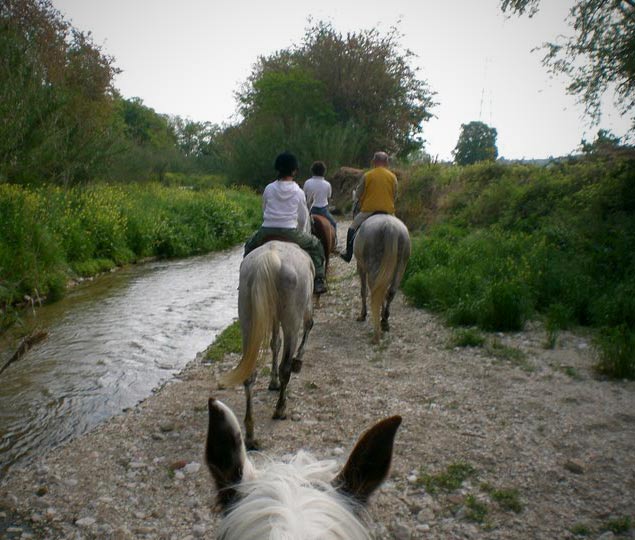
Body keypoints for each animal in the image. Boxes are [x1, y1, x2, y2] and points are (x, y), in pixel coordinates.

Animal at [221, 240, 316, 448]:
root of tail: (271, 258)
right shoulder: (304, 309)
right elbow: (309, 325)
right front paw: (298, 361)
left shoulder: (271, 317)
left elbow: (275, 344)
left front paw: (272, 382)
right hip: (291, 321)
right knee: (285, 367)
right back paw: (280, 409)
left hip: (247, 322)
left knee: (249, 373)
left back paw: (250, 434)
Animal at [356, 214, 410, 344]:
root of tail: (391, 227)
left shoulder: (361, 267)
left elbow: (363, 291)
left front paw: (362, 315)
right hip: (401, 266)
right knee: (390, 292)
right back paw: (384, 322)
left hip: (373, 267)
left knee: (377, 293)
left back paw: (377, 331)